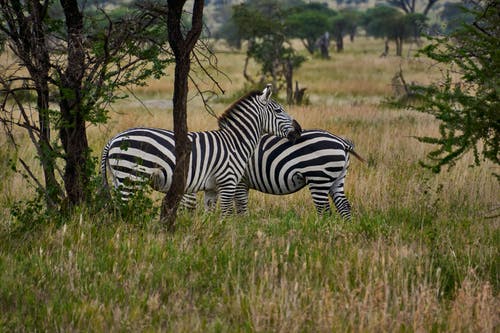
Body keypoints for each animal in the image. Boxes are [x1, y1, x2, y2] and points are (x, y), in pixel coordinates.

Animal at [99, 84, 298, 214]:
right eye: (279, 111)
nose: (299, 130)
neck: (235, 142)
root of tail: (114, 139)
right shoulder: (228, 182)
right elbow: (226, 215)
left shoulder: (212, 188)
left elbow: (210, 216)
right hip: (131, 177)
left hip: (119, 178)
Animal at [184, 129, 364, 218]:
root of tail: (341, 142)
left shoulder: (240, 181)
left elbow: (240, 207)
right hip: (337, 178)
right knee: (343, 206)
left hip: (319, 177)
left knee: (324, 210)